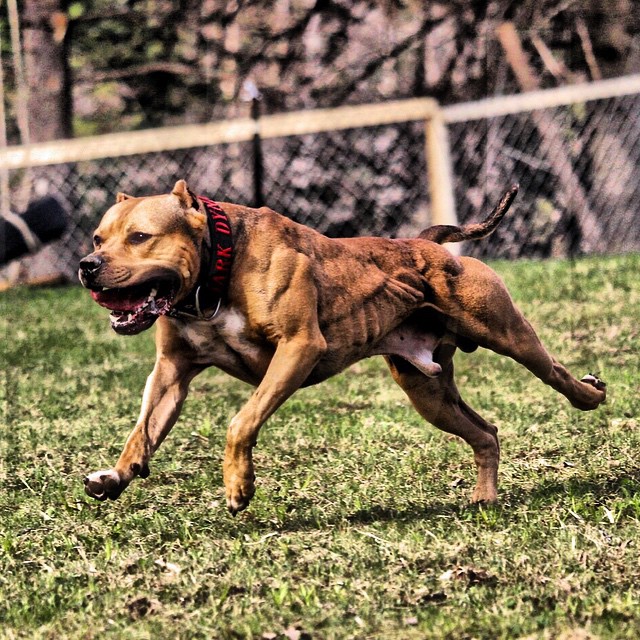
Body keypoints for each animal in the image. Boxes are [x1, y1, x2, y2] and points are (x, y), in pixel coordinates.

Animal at [79, 180, 604, 516]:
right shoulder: (171, 373)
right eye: (98, 238)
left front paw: (238, 486)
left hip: (508, 334)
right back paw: (486, 499)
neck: (215, 273)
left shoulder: (297, 349)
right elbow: (142, 432)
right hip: (426, 391)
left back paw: (591, 393)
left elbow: (240, 421)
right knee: (486, 433)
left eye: (141, 237)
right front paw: (116, 476)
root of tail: (426, 243)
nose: (87, 265)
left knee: (554, 372)